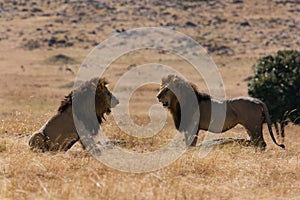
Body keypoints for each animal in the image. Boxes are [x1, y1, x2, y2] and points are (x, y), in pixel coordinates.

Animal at [157, 75, 286, 150]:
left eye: (167, 90)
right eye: (160, 88)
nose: (157, 96)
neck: (178, 105)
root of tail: (258, 101)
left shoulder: (193, 127)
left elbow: (191, 144)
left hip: (252, 126)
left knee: (261, 143)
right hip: (252, 127)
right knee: (256, 142)